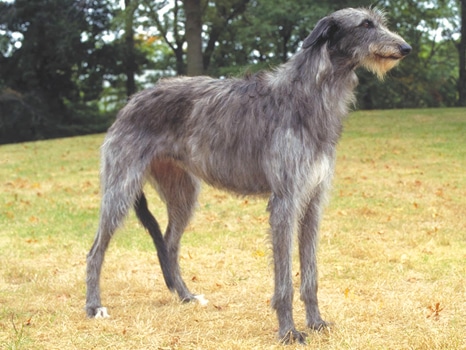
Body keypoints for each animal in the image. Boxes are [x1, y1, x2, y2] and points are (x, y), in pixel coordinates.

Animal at [85, 6, 410, 344]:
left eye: (380, 22)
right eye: (365, 24)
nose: (406, 48)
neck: (310, 94)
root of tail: (130, 102)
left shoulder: (313, 201)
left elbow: (310, 273)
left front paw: (316, 322)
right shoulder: (284, 201)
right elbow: (284, 278)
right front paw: (288, 331)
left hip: (182, 193)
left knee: (170, 244)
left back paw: (186, 296)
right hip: (121, 187)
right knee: (95, 251)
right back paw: (94, 306)